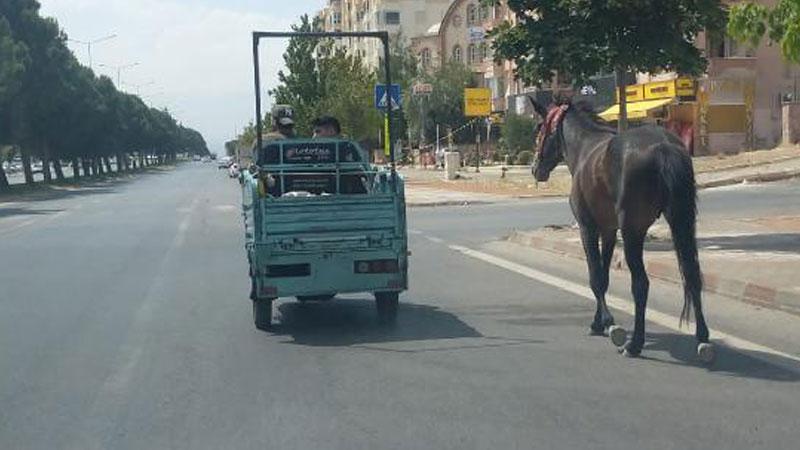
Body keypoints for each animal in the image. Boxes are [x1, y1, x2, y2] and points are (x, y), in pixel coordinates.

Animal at [532, 99, 712, 362]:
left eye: (539, 128)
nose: (536, 168)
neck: (584, 147)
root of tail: (664, 147)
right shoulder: (608, 231)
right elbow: (604, 276)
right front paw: (599, 322)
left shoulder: (588, 228)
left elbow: (596, 278)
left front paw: (607, 323)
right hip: (681, 222)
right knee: (692, 274)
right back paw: (703, 338)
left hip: (632, 232)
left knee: (641, 284)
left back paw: (635, 343)